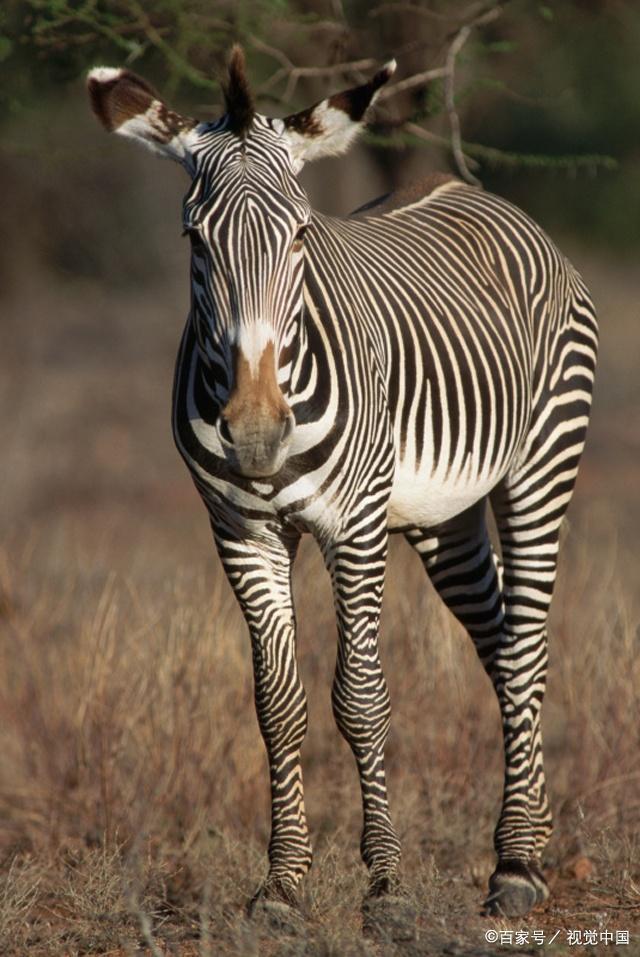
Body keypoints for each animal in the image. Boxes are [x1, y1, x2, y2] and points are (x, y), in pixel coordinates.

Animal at [87, 48, 596, 924]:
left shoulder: (354, 527)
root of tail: (473, 190)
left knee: (528, 645)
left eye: (300, 234)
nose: (255, 430)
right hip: (441, 519)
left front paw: (385, 882)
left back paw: (517, 864)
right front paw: (283, 882)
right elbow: (278, 705)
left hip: (541, 464)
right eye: (194, 238)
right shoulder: (241, 532)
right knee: (501, 648)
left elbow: (360, 697)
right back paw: (533, 827)